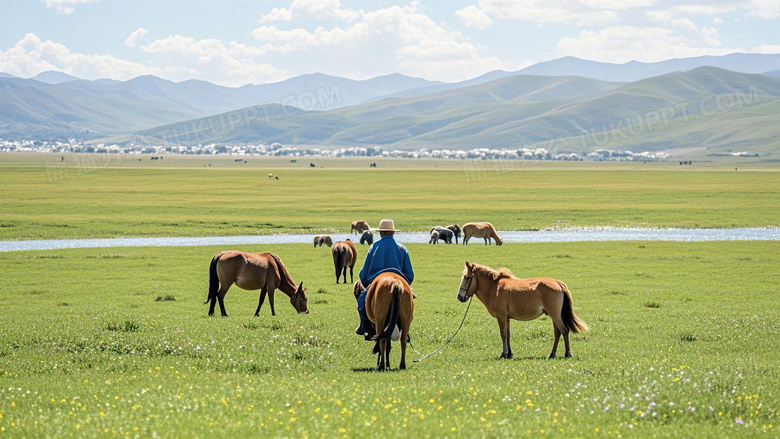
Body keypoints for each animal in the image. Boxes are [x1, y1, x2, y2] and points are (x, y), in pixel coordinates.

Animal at [454, 262, 588, 360]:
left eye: (466, 277)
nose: (459, 297)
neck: (494, 288)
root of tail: (558, 283)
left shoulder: (501, 316)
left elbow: (503, 334)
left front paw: (503, 354)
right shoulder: (507, 318)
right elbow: (508, 335)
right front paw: (509, 354)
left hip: (555, 314)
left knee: (564, 330)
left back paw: (567, 354)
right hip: (554, 315)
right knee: (557, 333)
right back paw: (552, 354)